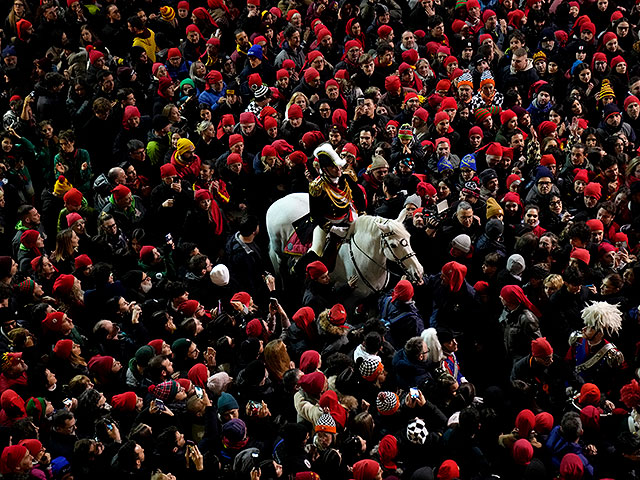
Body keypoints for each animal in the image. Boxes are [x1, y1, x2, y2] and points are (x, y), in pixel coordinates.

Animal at [264, 192, 424, 298]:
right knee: (282, 268)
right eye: (394, 245)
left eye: (409, 239)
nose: (419, 271)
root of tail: (277, 203)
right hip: (279, 251)